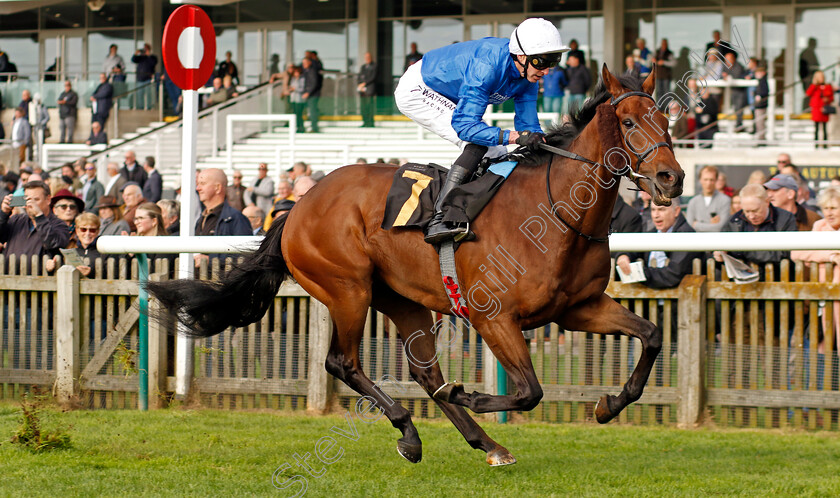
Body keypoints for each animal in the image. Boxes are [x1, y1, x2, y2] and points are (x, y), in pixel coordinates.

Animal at [149, 66, 684, 466]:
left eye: (667, 119)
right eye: (629, 123)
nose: (671, 178)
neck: (558, 213)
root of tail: (298, 205)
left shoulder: (580, 307)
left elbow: (652, 335)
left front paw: (610, 404)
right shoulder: (494, 317)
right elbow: (530, 390)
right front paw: (470, 395)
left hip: (402, 299)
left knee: (425, 373)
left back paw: (485, 443)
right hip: (348, 288)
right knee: (342, 362)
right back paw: (410, 430)